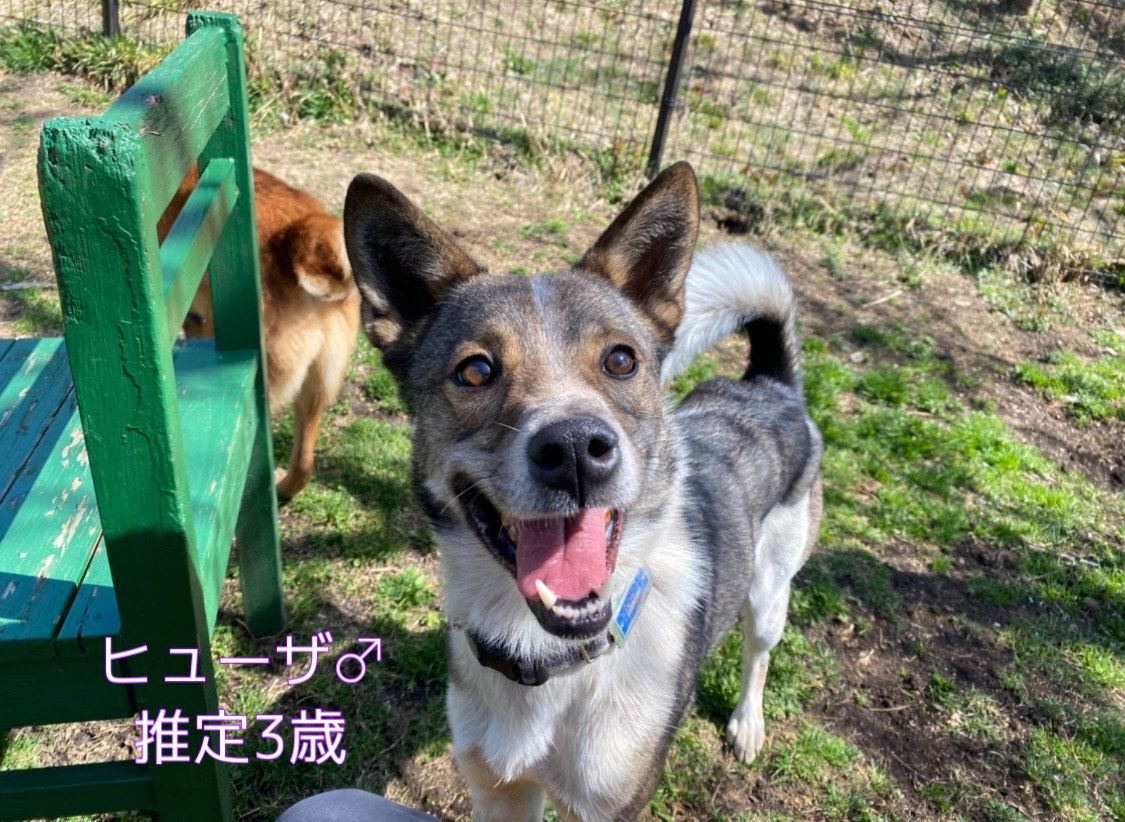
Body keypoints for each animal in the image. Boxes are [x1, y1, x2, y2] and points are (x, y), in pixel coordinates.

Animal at [342, 162, 823, 821]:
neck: (548, 660)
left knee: (759, 651)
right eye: (476, 371)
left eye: (621, 360)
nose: (574, 449)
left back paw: (747, 724)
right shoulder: (497, 789)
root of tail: (769, 384)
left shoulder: (609, 802)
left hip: (771, 586)